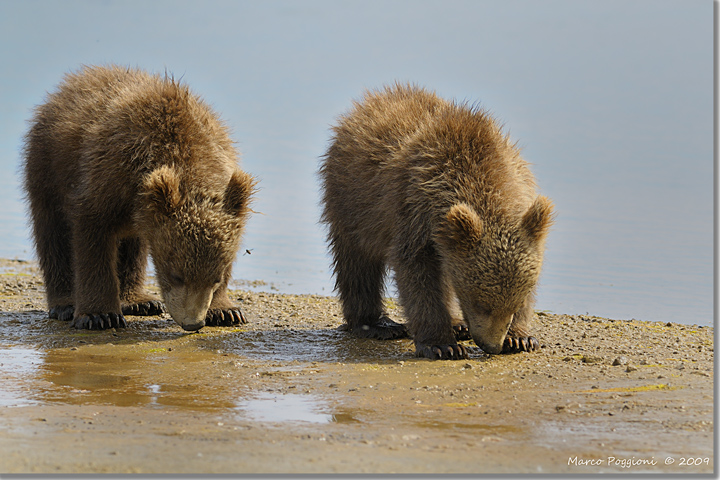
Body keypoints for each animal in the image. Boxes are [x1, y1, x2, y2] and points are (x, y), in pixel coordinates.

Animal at [23, 64, 256, 332]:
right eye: (176, 274)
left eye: (215, 278)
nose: (192, 323)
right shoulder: (107, 174)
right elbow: (92, 239)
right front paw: (100, 315)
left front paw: (225, 310)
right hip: (48, 169)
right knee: (53, 235)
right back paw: (65, 304)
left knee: (133, 244)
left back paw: (139, 301)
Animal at [319, 84, 554, 359]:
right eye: (479, 303)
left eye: (514, 303)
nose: (491, 345)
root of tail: (368, 103)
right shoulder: (413, 209)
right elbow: (417, 271)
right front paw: (441, 345)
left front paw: (520, 338)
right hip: (353, 203)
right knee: (357, 263)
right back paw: (376, 324)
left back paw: (458, 325)